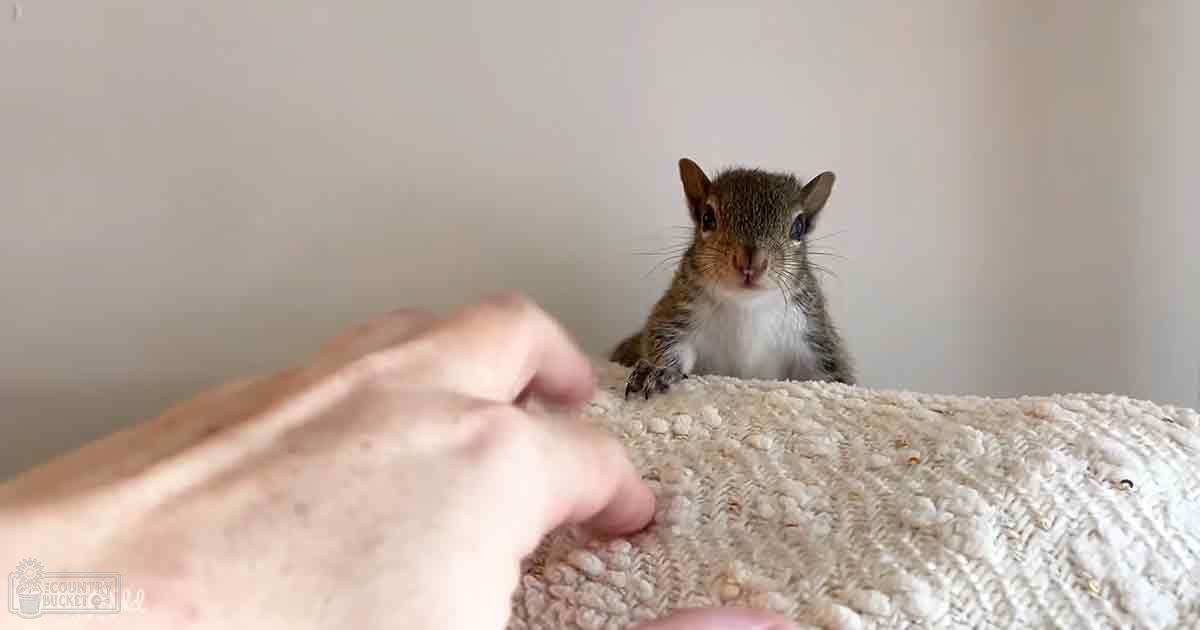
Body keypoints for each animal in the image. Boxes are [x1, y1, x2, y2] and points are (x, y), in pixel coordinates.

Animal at [612, 157, 854, 399]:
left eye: (799, 227)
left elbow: (829, 372)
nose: (752, 263)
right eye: (707, 218)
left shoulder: (813, 335)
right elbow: (666, 340)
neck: (746, 305)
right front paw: (657, 371)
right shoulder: (679, 313)